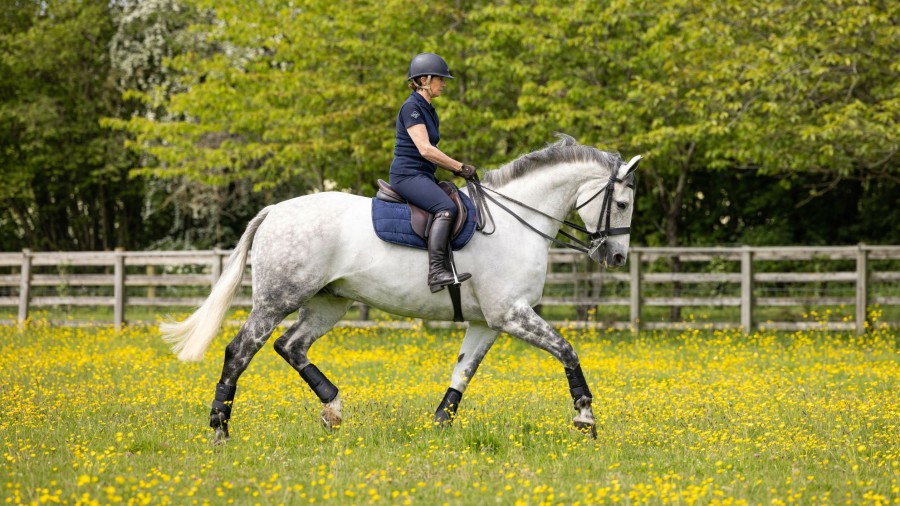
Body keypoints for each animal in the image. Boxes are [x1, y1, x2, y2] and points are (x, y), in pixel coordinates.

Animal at [162, 134, 640, 442]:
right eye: (621, 203)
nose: (616, 258)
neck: (516, 223)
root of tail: (274, 211)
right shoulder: (512, 314)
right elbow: (567, 351)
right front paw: (585, 418)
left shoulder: (488, 322)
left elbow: (463, 372)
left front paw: (439, 425)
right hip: (277, 299)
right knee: (239, 351)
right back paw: (220, 430)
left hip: (328, 303)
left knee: (291, 346)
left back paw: (332, 409)